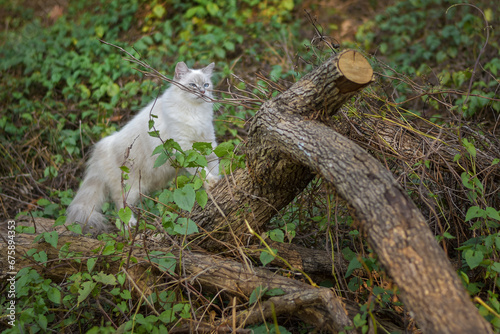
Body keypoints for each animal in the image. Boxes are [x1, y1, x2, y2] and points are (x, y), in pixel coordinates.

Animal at [66, 63, 219, 235]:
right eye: (193, 85)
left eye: (206, 85)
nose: (203, 92)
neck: (195, 112)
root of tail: (102, 147)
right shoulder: (184, 149)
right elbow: (201, 170)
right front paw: (211, 182)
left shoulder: (208, 145)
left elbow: (213, 168)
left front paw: (216, 184)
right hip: (130, 188)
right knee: (120, 207)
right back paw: (131, 226)